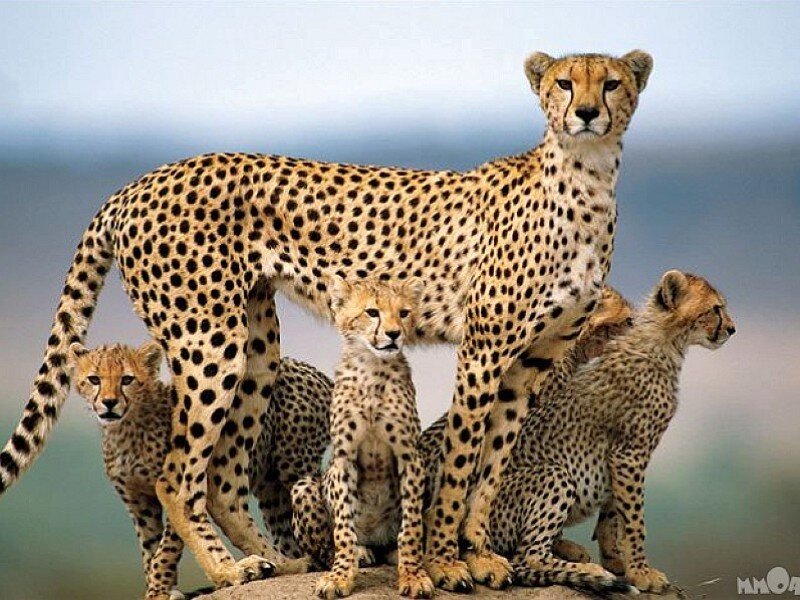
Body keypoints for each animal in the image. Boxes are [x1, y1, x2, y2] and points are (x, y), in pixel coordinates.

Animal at [68, 337, 331, 599]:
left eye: (127, 379)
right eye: (94, 379)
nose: (109, 403)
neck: (126, 426)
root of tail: (311, 369)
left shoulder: (177, 485)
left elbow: (166, 548)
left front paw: (159, 588)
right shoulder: (138, 503)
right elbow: (149, 549)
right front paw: (160, 587)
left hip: (293, 464)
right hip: (270, 489)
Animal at [292, 278, 434, 599]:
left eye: (404, 313)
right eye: (372, 312)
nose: (394, 333)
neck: (372, 367)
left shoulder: (410, 456)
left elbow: (411, 525)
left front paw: (413, 574)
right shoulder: (344, 459)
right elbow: (343, 528)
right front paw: (341, 576)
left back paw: (391, 552)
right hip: (304, 486)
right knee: (323, 549)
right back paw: (358, 552)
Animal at [421, 271, 735, 594]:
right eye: (715, 309)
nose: (732, 329)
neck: (664, 343)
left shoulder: (620, 456)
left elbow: (614, 512)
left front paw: (617, 560)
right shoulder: (628, 453)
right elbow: (634, 518)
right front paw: (641, 572)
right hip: (553, 475)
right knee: (527, 557)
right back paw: (584, 570)